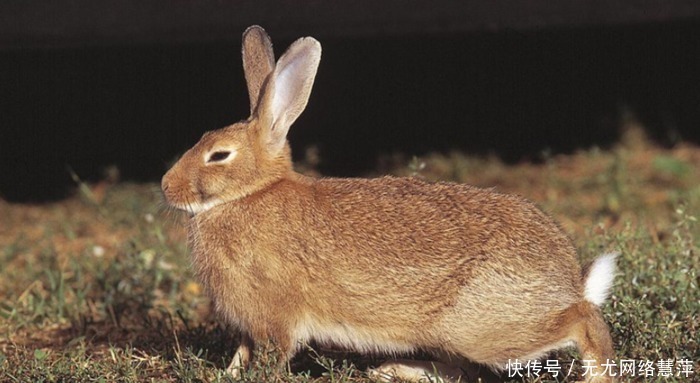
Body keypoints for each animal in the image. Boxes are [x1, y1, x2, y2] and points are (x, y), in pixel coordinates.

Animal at [161, 25, 616, 382]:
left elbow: (273, 352)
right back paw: (395, 370)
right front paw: (227, 374)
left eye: (219, 155)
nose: (167, 187)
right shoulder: (248, 324)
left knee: (584, 321)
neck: (250, 193)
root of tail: (568, 280)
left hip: (482, 328)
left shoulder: (274, 315)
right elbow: (242, 351)